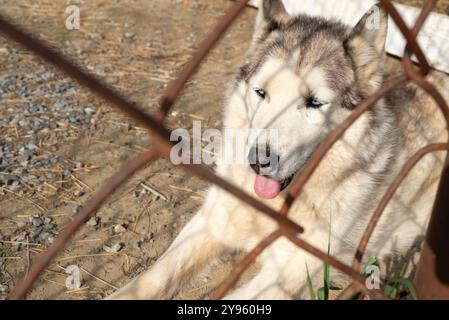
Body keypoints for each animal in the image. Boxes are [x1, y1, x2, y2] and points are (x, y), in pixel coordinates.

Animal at [109, 0, 448, 300]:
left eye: (314, 102)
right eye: (261, 92)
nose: (258, 162)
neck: (273, 208)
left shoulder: (291, 273)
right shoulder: (212, 221)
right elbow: (155, 276)